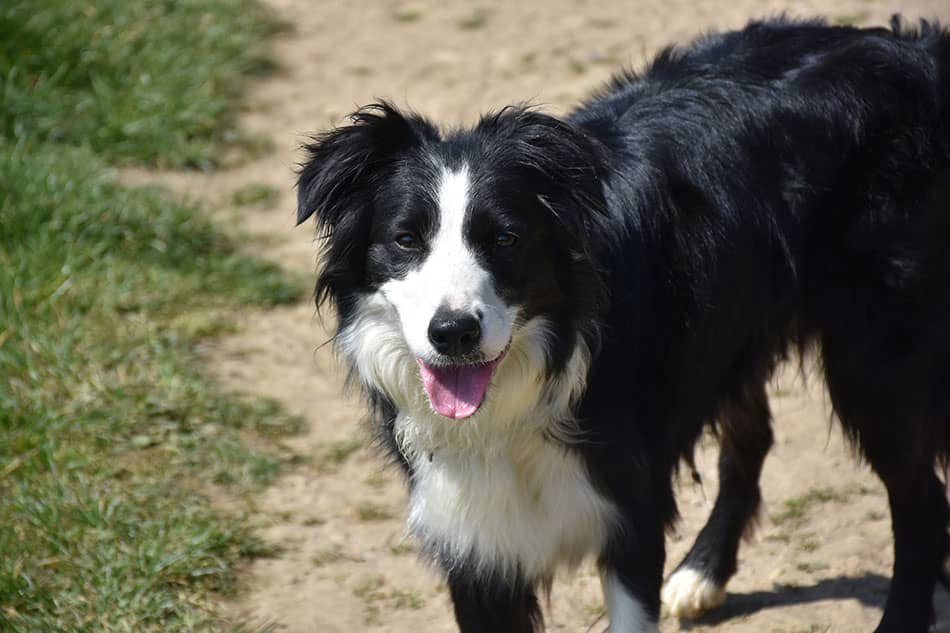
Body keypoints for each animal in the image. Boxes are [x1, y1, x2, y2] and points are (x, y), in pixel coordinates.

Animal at [298, 14, 950, 632]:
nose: (454, 333)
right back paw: (702, 572)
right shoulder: (475, 540)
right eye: (406, 240)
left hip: (874, 354)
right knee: (753, 437)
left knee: (919, 493)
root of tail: (913, 49)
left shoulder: (630, 507)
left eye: (505, 239)